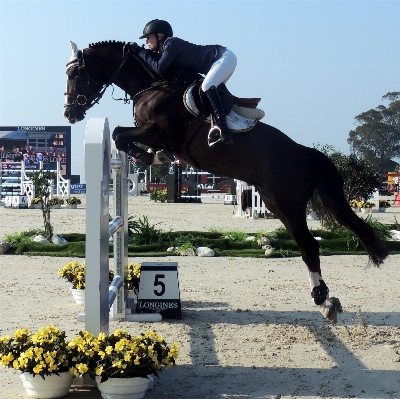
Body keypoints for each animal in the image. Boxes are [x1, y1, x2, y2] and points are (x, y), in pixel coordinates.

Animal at [62, 40, 388, 324]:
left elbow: (120, 134)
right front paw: (152, 157)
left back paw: (323, 301)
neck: (152, 87)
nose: (70, 113)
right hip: (275, 203)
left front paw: (148, 157)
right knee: (308, 244)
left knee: (309, 246)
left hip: (288, 205)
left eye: (75, 74)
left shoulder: (162, 132)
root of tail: (305, 153)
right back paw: (327, 300)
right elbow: (122, 135)